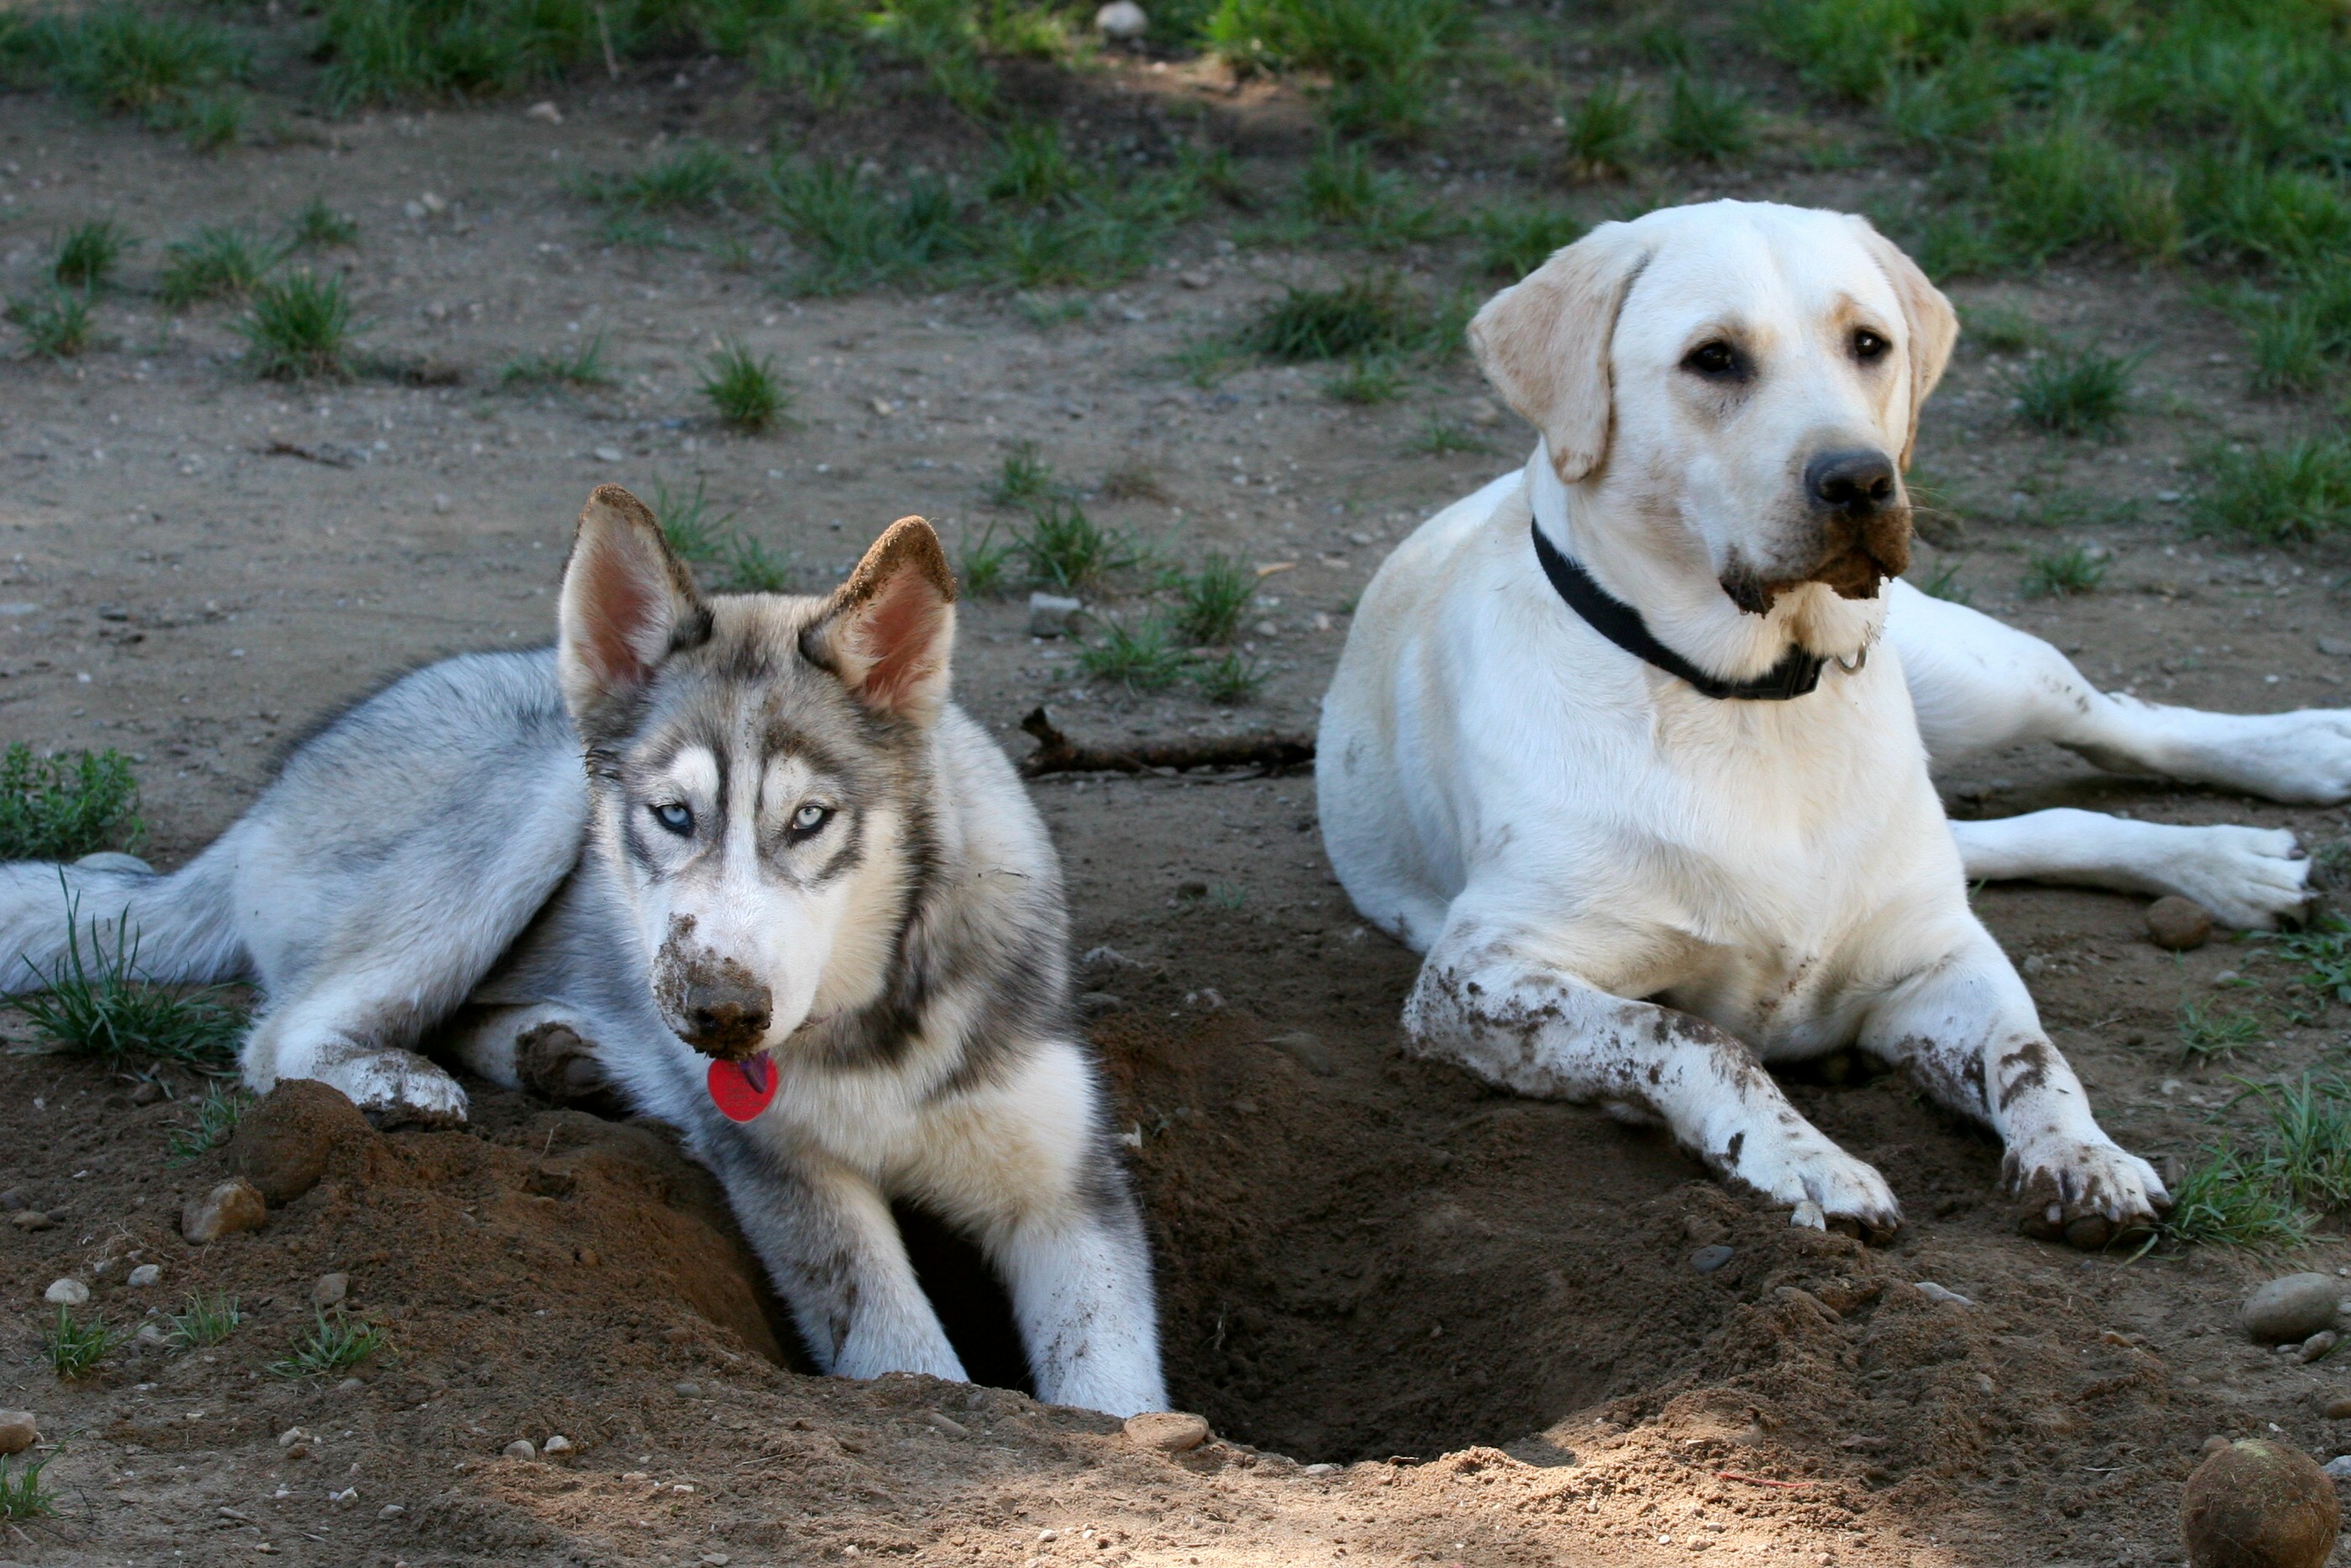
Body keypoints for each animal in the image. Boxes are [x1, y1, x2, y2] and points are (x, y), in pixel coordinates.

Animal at [0, 491, 1170, 1419]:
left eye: (808, 820)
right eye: (671, 814)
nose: (718, 1013)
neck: (865, 1021)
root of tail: (267, 798)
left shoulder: (1067, 1187)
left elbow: (1115, 1383)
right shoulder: (791, 1176)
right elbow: (907, 1355)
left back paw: (562, 1054)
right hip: (539, 802)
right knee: (284, 1030)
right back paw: (400, 1082)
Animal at [1325, 200, 2351, 1250]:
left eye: (1869, 343)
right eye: (1712, 358)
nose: (1860, 480)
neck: (1748, 698)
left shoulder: (1938, 958)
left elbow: (2029, 1049)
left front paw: (2082, 1153)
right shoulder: (1477, 979)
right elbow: (1691, 1035)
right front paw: (1805, 1159)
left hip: (1975, 676)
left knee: (2115, 722)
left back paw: (2277, 787)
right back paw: (2232, 862)